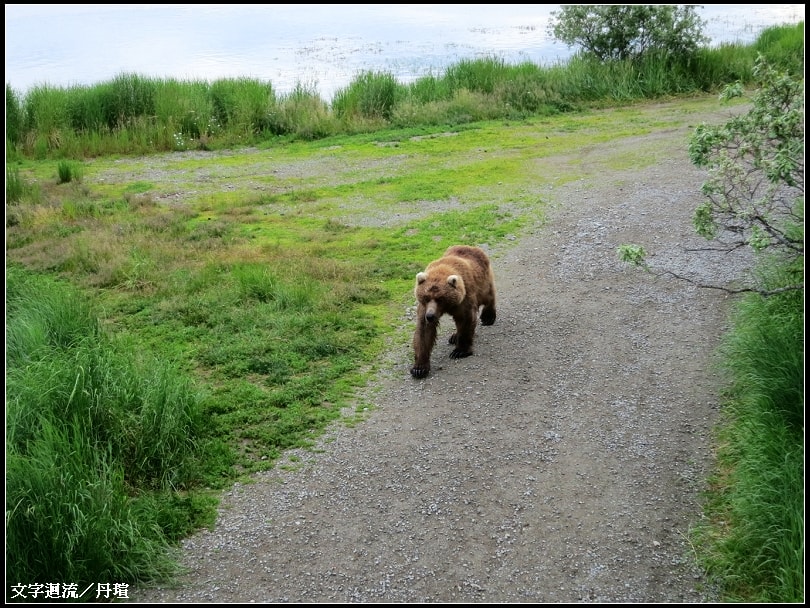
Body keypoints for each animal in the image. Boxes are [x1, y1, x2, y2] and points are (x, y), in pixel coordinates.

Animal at [410, 245, 497, 378]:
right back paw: (454, 336)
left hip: (482, 281)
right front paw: (419, 368)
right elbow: (423, 331)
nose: (430, 316)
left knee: (488, 295)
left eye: (440, 298)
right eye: (426, 297)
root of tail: (472, 247)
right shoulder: (424, 308)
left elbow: (466, 320)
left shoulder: (465, 296)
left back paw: (488, 317)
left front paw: (459, 351)